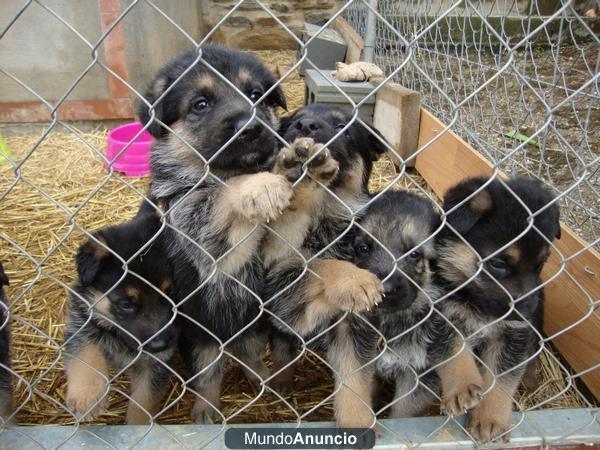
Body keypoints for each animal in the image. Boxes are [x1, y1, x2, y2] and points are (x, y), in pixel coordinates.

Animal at [67, 213, 178, 424]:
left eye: (169, 294)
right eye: (126, 304)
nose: (160, 345)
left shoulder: (157, 363)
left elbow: (144, 400)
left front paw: (138, 426)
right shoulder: (82, 321)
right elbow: (85, 354)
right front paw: (87, 395)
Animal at [139, 45, 292, 422]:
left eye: (255, 94)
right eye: (200, 104)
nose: (250, 128)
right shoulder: (199, 230)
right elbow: (221, 194)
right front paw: (261, 187)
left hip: (251, 323)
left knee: (250, 353)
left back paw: (264, 380)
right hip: (202, 332)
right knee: (208, 371)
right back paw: (206, 409)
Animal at [264, 103, 390, 428]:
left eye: (343, 126)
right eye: (293, 123)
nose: (306, 126)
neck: (324, 220)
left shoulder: (353, 327)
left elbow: (354, 381)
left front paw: (357, 423)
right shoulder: (279, 286)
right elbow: (318, 264)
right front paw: (354, 280)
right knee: (282, 353)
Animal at [352, 190, 482, 418]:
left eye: (414, 254)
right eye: (363, 248)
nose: (383, 290)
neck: (392, 321)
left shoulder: (420, 373)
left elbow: (403, 411)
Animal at [436, 177, 564, 442]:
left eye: (540, 264)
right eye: (497, 263)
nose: (525, 311)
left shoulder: (513, 334)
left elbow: (502, 379)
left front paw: (490, 419)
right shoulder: (443, 314)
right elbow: (454, 350)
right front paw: (462, 387)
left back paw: (531, 379)